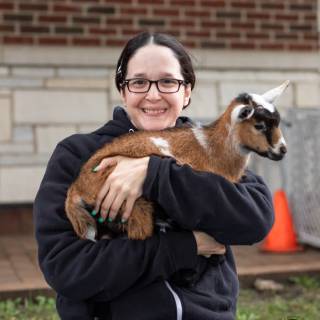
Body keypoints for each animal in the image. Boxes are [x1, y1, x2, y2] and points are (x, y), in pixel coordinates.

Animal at [65, 80, 290, 240]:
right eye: (259, 125)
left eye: (277, 122)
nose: (282, 150)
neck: (211, 147)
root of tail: (76, 189)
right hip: (133, 204)